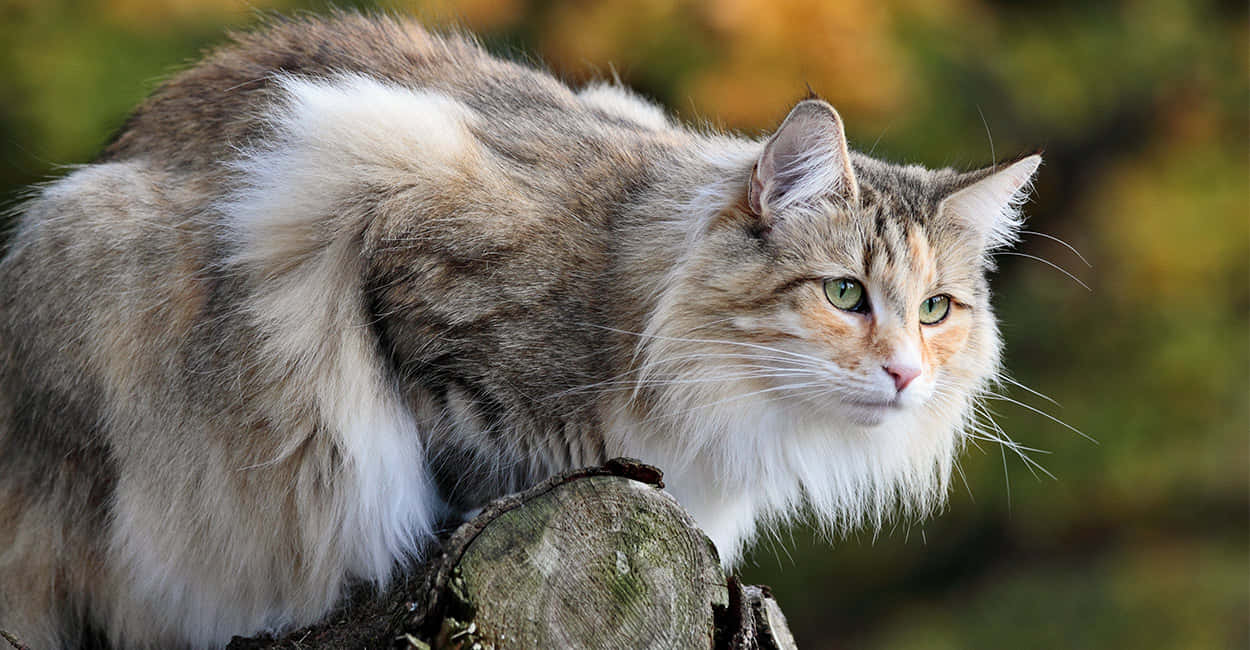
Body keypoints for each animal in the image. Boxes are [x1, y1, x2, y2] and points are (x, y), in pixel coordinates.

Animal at [0, 11, 1040, 650]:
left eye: (936, 310)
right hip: (87, 243)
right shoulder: (379, 213)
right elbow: (457, 447)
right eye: (845, 294)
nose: (905, 373)